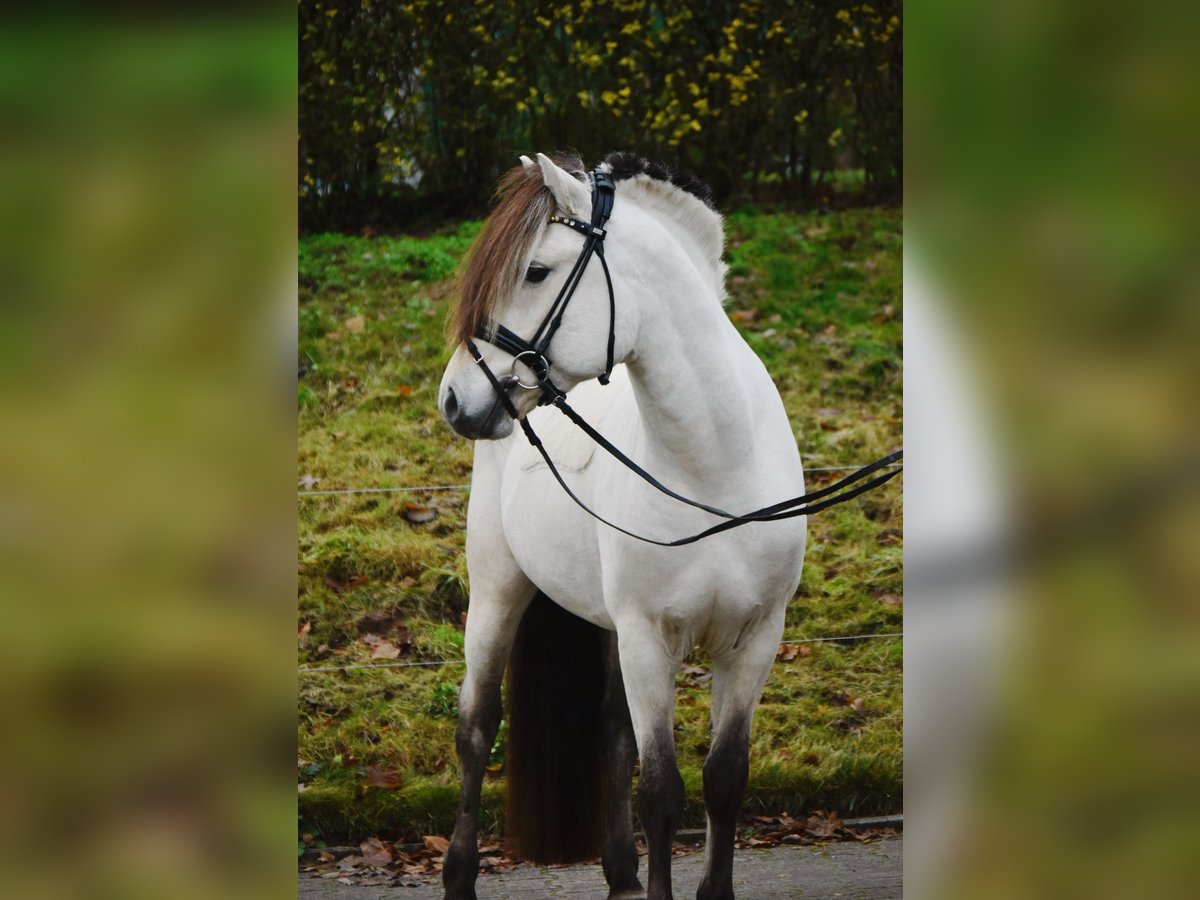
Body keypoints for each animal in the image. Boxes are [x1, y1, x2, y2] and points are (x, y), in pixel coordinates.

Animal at [437, 151, 807, 900]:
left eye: (537, 270)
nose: (454, 399)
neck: (715, 472)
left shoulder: (755, 639)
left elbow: (723, 781)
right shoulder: (646, 638)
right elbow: (661, 792)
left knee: (610, 731)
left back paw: (620, 873)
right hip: (496, 590)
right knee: (477, 727)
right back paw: (459, 876)